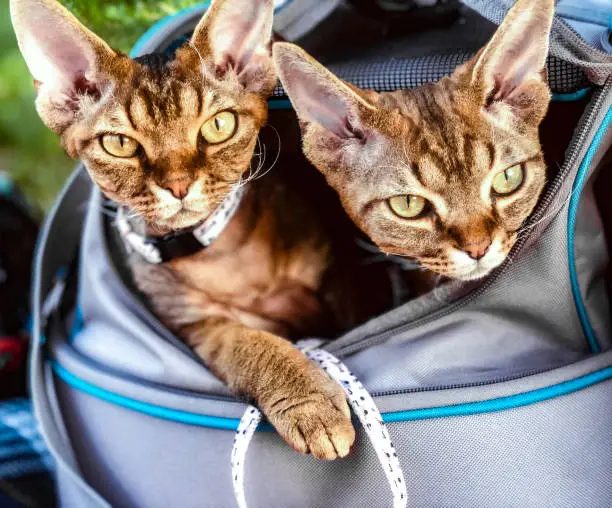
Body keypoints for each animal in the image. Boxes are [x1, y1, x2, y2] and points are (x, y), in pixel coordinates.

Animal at [10, 0, 396, 460]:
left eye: (218, 126)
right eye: (119, 144)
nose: (178, 185)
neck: (220, 257)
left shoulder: (342, 272)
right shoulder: (199, 326)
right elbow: (251, 348)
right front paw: (309, 402)